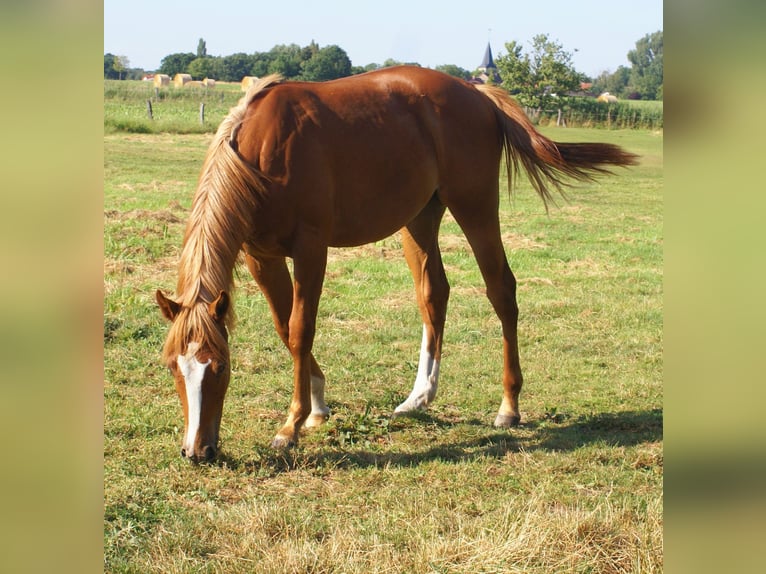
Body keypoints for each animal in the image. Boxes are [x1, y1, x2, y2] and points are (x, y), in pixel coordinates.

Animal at [156, 66, 637, 462]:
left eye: (220, 367)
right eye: (173, 367)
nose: (197, 451)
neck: (262, 152)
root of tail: (476, 92)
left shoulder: (312, 250)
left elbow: (299, 330)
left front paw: (291, 425)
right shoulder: (262, 256)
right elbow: (283, 328)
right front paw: (318, 406)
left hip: (476, 206)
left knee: (501, 290)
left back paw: (509, 406)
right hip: (420, 218)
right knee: (434, 294)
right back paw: (419, 397)